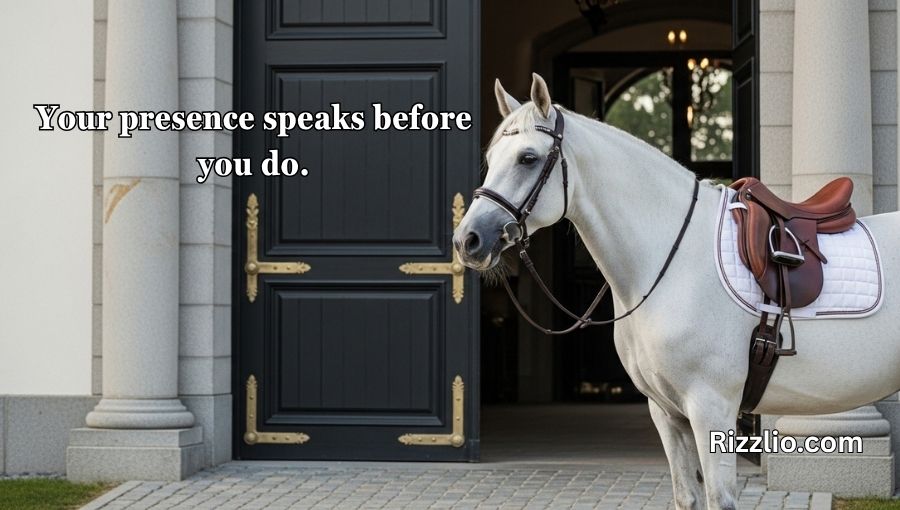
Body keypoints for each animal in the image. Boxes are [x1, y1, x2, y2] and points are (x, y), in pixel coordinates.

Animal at [453, 73, 900, 510]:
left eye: (527, 158)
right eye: (491, 159)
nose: (468, 240)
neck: (672, 261)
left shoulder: (712, 409)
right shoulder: (667, 414)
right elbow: (687, 496)